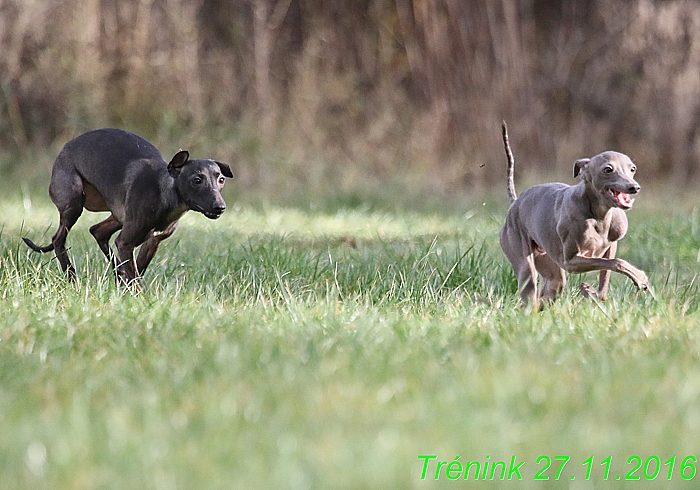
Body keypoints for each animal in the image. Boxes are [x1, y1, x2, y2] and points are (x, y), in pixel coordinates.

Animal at [23, 128, 232, 286]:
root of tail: (66, 146)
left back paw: (117, 274)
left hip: (117, 217)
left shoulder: (152, 242)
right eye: (197, 180)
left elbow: (137, 270)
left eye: (221, 179)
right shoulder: (125, 242)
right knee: (59, 239)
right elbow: (135, 277)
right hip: (74, 203)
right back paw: (71, 276)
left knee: (98, 231)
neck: (163, 193)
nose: (220, 207)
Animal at [498, 121, 652, 306]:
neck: (599, 217)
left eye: (632, 169)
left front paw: (591, 292)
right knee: (530, 291)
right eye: (608, 169)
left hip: (549, 265)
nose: (634, 187)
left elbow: (607, 274)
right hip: (523, 259)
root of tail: (515, 202)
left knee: (550, 289)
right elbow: (616, 262)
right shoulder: (571, 262)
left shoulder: (611, 245)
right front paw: (640, 278)